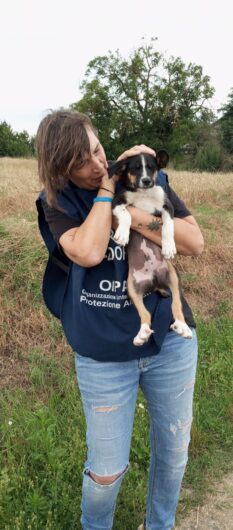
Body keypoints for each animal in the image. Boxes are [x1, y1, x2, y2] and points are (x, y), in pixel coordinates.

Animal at [108, 151, 193, 344]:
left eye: (152, 168)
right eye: (135, 168)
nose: (146, 181)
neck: (144, 194)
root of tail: (154, 282)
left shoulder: (167, 206)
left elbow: (168, 225)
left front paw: (169, 247)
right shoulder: (117, 202)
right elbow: (126, 215)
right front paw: (123, 234)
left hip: (173, 276)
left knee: (176, 305)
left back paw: (182, 326)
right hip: (132, 288)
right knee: (145, 314)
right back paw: (143, 333)